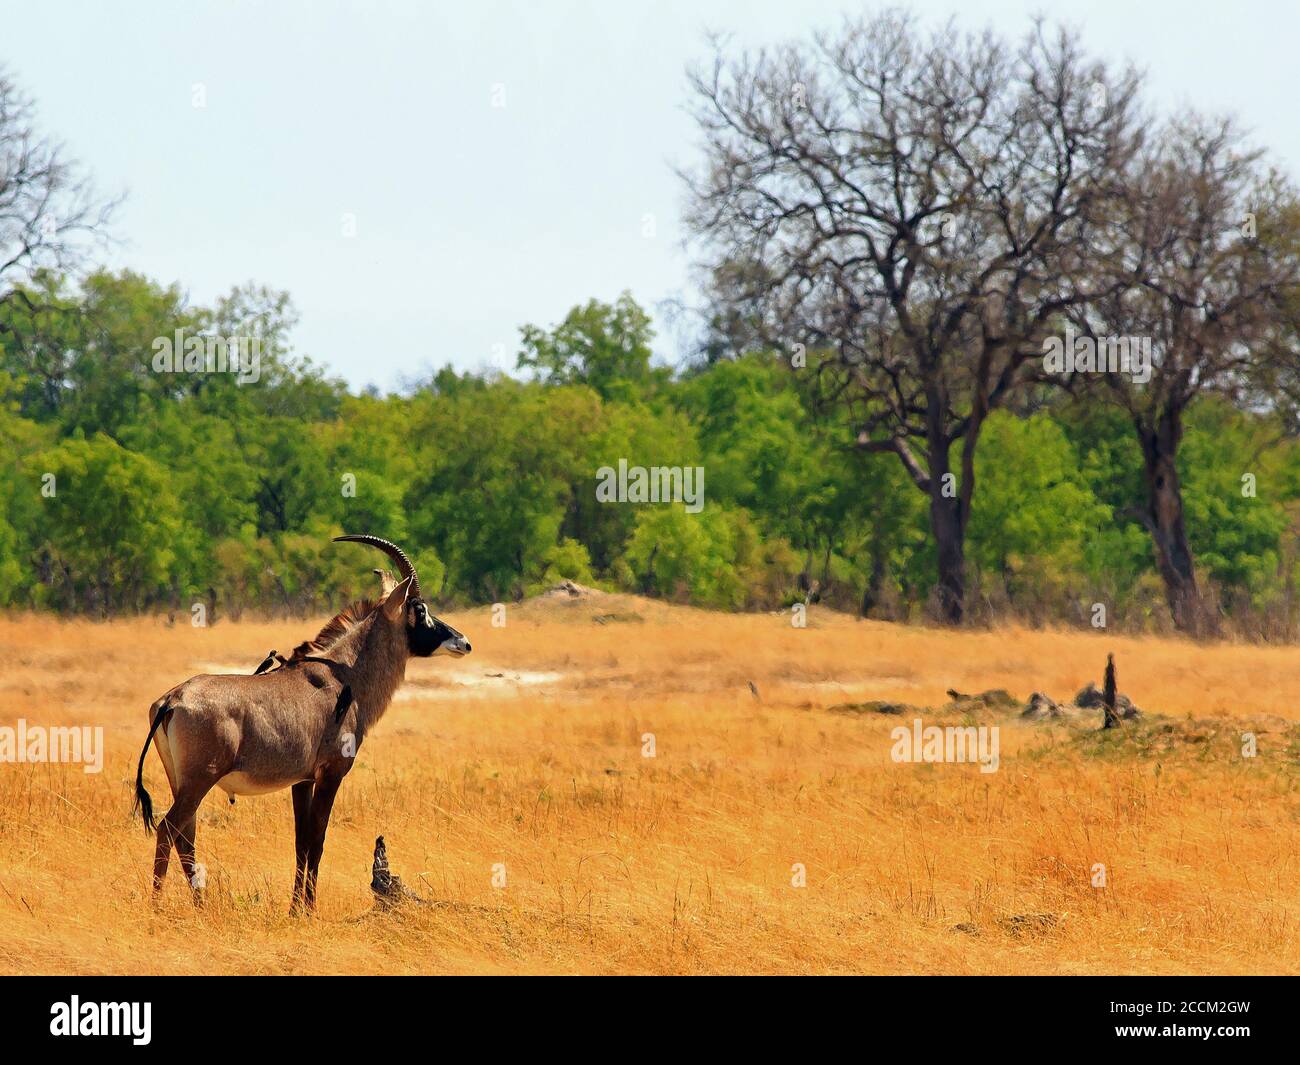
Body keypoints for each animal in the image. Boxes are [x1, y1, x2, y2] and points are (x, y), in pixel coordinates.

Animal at [134, 538, 470, 910]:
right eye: (420, 609)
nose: (463, 642)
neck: (344, 677)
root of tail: (172, 700)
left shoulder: (302, 780)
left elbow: (300, 841)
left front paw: (296, 908)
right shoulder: (331, 774)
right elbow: (317, 840)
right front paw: (309, 909)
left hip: (181, 781)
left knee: (185, 835)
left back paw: (200, 905)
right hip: (199, 780)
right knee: (168, 828)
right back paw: (157, 906)